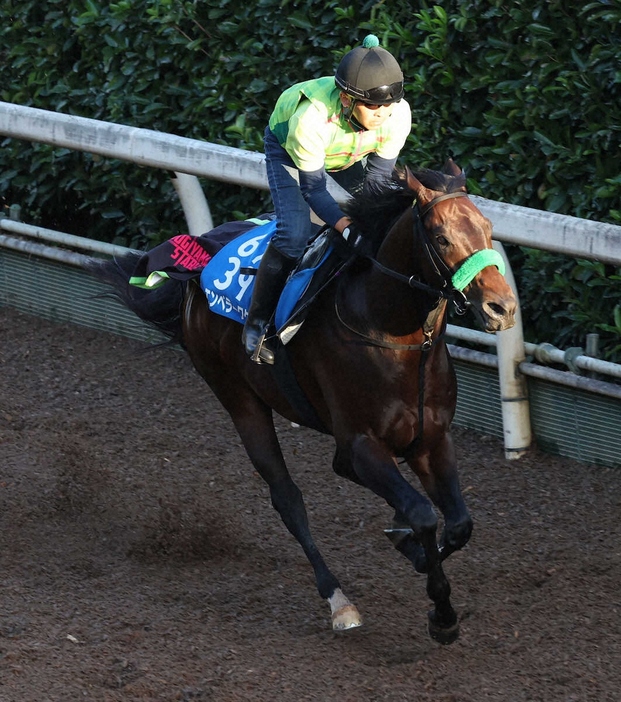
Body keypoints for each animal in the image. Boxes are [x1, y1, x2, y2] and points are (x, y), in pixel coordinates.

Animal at [85, 162, 516, 648]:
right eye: (442, 238)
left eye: (487, 228)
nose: (502, 307)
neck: (392, 334)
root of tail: (196, 267)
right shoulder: (359, 446)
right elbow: (423, 515)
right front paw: (441, 612)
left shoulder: (432, 439)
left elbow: (459, 523)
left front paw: (412, 547)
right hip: (238, 399)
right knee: (288, 499)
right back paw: (339, 601)